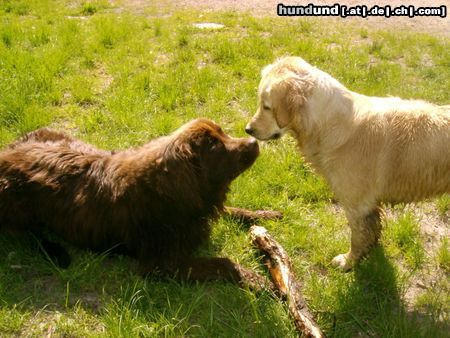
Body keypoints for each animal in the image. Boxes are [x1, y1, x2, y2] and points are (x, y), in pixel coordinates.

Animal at [0, 119, 274, 288]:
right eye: (215, 145)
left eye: (222, 132)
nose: (253, 142)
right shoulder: (160, 264)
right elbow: (223, 263)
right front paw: (258, 280)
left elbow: (229, 210)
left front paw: (263, 214)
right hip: (14, 200)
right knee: (27, 235)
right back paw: (56, 251)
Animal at [246, 56, 450, 272]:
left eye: (267, 106)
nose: (248, 129)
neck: (330, 123)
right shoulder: (368, 207)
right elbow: (373, 230)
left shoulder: (356, 205)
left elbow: (357, 238)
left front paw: (348, 262)